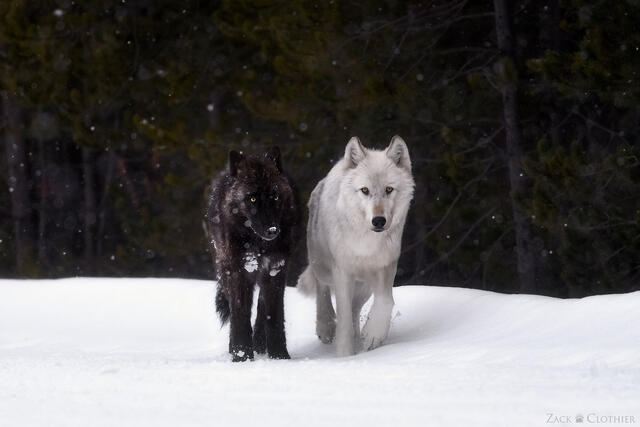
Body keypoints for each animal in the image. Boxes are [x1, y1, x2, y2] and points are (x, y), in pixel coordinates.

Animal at [206, 147, 301, 362]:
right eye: (252, 198)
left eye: (275, 196)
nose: (273, 230)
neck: (259, 244)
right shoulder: (238, 273)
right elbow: (240, 315)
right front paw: (241, 356)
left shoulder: (275, 270)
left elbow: (274, 316)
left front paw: (279, 356)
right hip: (225, 269)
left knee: (261, 307)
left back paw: (259, 344)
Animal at [298, 136, 414, 356]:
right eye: (365, 190)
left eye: (388, 189)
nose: (378, 221)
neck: (366, 244)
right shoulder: (342, 272)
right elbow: (343, 319)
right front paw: (345, 356)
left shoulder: (386, 267)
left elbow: (386, 302)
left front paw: (373, 335)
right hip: (323, 267)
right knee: (322, 289)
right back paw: (326, 327)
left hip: (364, 287)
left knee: (354, 309)